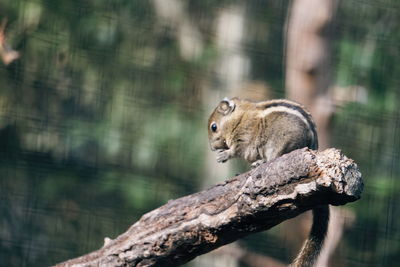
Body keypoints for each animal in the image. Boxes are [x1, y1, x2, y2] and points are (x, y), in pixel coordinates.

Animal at [208, 98, 330, 267]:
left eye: (214, 127)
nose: (212, 148)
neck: (239, 118)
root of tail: (314, 147)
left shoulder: (243, 139)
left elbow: (236, 150)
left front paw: (224, 155)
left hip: (281, 145)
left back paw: (261, 163)